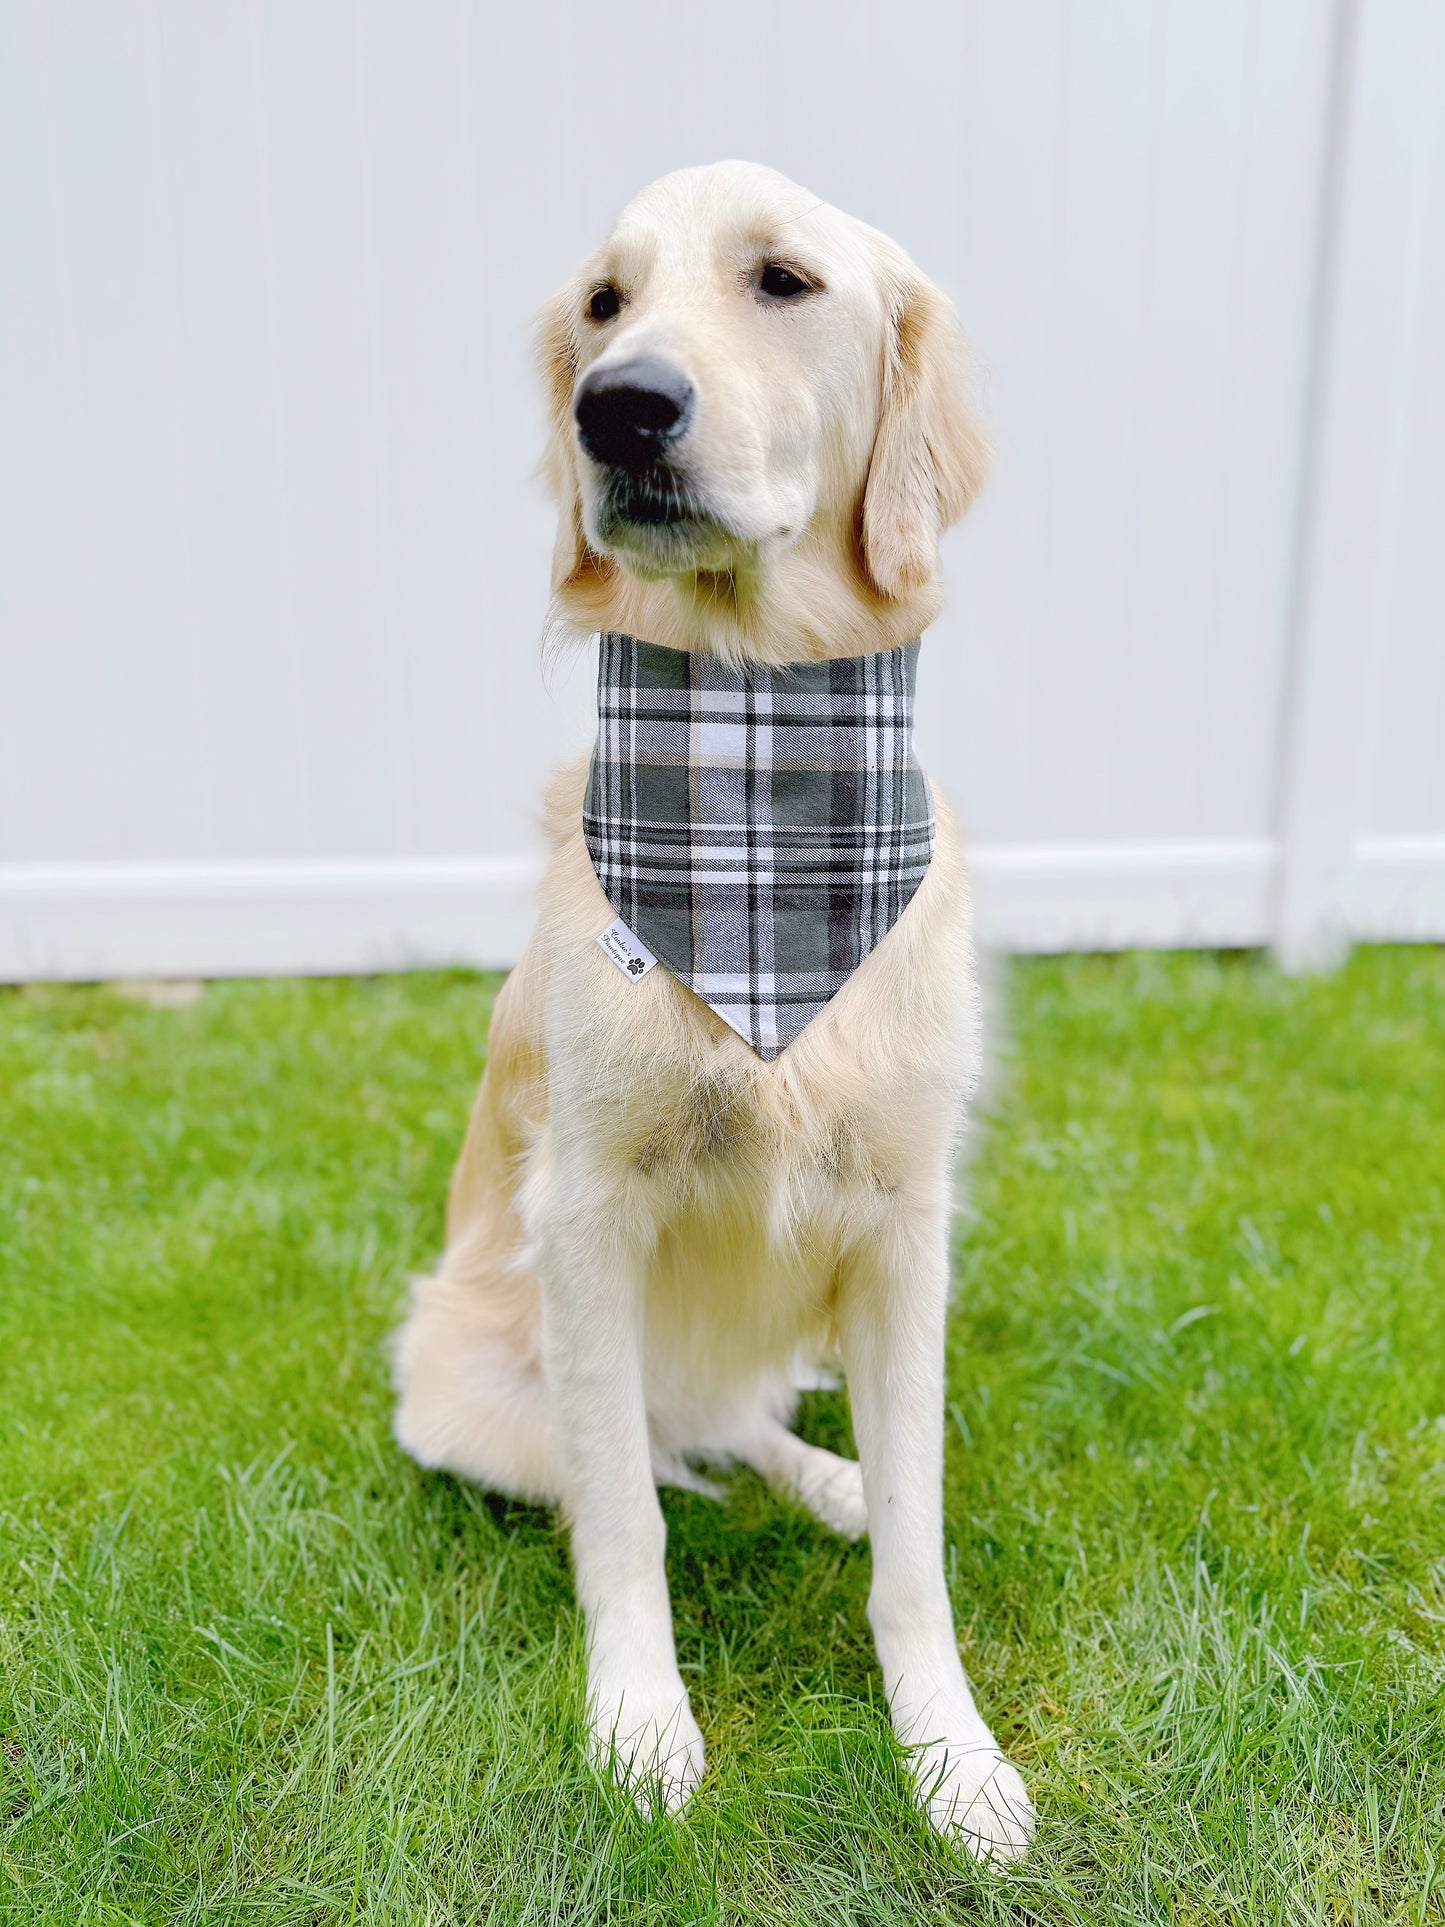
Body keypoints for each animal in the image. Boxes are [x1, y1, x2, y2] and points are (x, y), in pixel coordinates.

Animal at [391, 165, 1032, 1865]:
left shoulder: (904, 1222)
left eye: (783, 281)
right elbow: (623, 1521)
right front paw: (640, 1724)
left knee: (746, 1423)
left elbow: (917, 1554)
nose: (618, 409)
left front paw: (951, 1756)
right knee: (650, 1449)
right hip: (461, 1382)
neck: (749, 757)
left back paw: (830, 1476)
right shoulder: (587, 1213)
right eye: (603, 305)